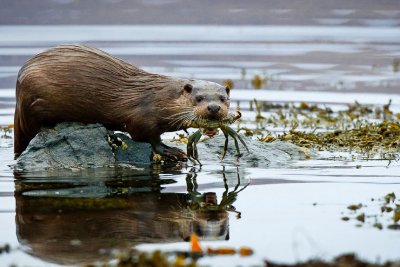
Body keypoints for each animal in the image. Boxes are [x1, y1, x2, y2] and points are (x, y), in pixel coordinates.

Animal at [14, 44, 230, 161]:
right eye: (199, 98)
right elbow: (147, 137)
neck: (160, 98)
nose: (213, 108)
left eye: (223, 98)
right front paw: (171, 151)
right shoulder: (141, 117)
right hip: (33, 102)